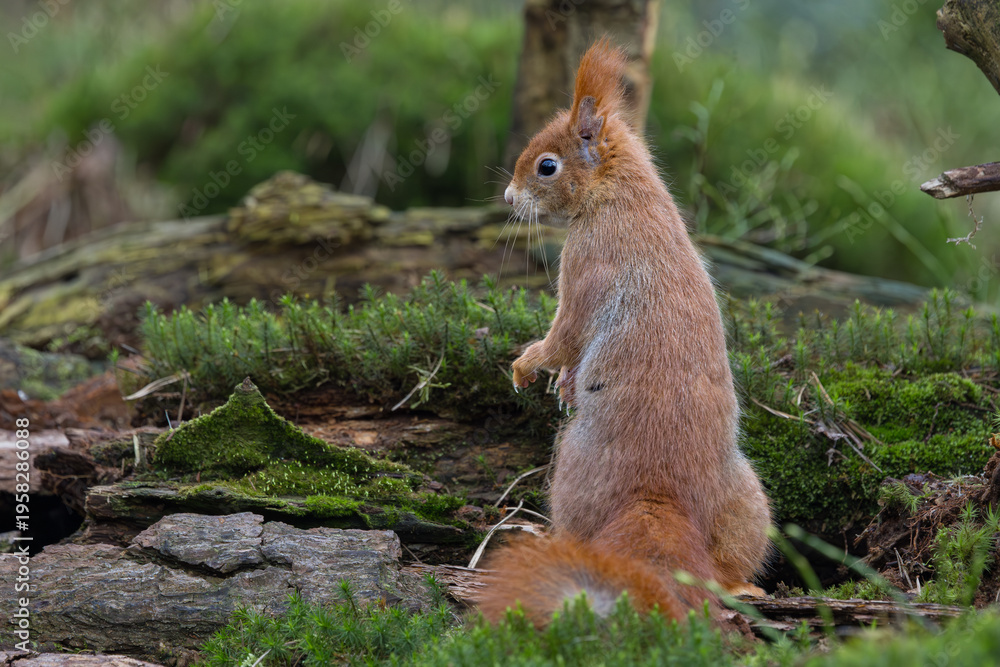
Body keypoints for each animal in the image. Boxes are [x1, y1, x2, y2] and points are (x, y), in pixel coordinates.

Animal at [478, 38, 772, 627]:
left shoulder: (585, 266)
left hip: (569, 472)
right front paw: (563, 385)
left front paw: (527, 367)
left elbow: (564, 336)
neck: (622, 197)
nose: (508, 198)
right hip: (749, 501)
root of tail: (659, 495)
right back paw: (743, 587)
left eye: (547, 166)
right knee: (724, 568)